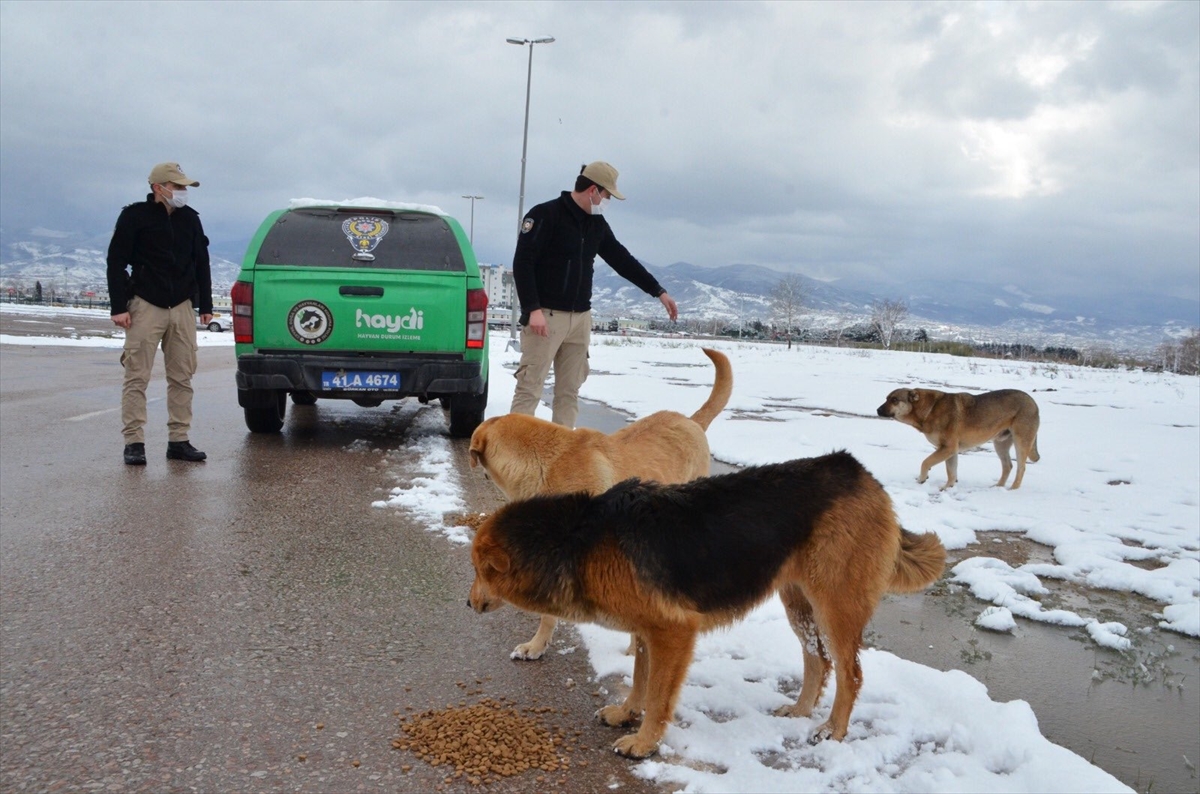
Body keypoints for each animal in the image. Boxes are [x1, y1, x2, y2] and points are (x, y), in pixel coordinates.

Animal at [468, 453, 945, 758]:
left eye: (478, 569)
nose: (468, 604)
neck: (579, 538)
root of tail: (859, 472)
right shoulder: (648, 632)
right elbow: (640, 680)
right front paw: (626, 714)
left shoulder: (674, 633)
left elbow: (659, 695)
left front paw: (644, 743)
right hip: (800, 604)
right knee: (817, 660)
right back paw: (800, 710)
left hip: (835, 607)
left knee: (849, 673)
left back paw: (833, 730)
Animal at [873, 386, 1041, 491]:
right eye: (887, 398)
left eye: (894, 400)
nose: (877, 410)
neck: (928, 410)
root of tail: (1033, 402)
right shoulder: (951, 451)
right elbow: (951, 472)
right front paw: (948, 487)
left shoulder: (948, 448)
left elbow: (925, 462)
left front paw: (922, 478)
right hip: (1000, 443)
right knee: (1007, 466)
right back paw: (998, 486)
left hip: (1021, 441)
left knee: (1020, 467)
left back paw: (1013, 489)